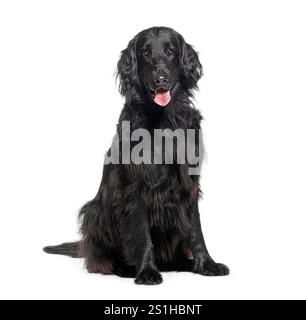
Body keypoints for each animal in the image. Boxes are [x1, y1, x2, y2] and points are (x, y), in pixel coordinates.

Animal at [44, 26, 228, 284]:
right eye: (145, 54)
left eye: (170, 52)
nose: (160, 80)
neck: (162, 121)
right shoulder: (135, 187)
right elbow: (142, 234)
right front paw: (146, 271)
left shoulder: (189, 183)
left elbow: (196, 229)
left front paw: (206, 263)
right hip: (94, 211)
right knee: (98, 259)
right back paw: (122, 267)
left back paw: (185, 263)